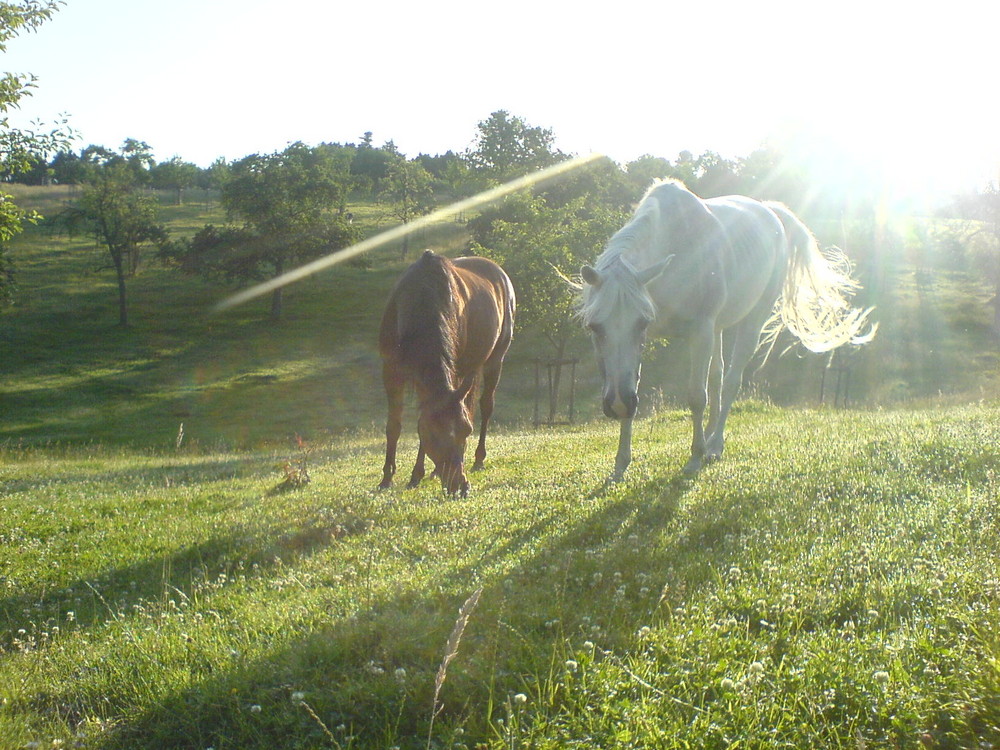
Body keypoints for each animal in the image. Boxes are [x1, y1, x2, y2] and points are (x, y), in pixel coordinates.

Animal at [376, 253, 516, 500]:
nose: (460, 487)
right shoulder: (390, 369)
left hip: (495, 357)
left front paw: (417, 474)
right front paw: (387, 478)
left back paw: (478, 459)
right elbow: (394, 425)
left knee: (486, 405)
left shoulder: (455, 368)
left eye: (466, 431)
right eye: (434, 435)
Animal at [580, 179, 876, 478]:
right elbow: (638, 385)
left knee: (732, 380)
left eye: (641, 322)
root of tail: (771, 212)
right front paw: (620, 465)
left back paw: (713, 446)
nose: (617, 404)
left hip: (752, 320)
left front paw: (695, 458)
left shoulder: (699, 331)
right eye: (594, 327)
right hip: (718, 330)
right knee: (718, 377)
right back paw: (709, 435)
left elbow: (696, 396)